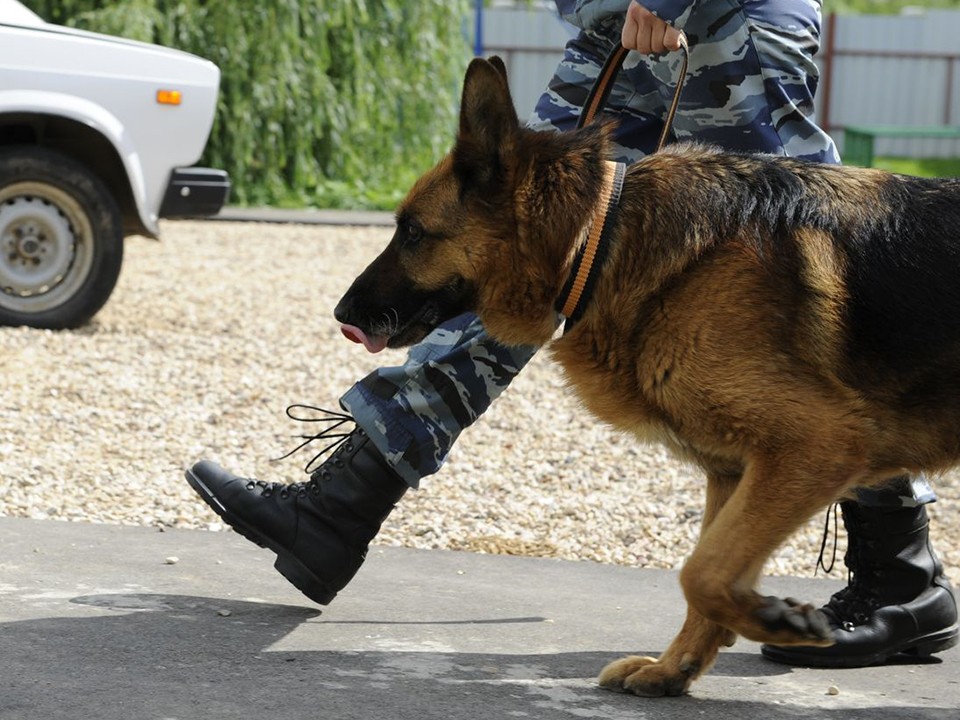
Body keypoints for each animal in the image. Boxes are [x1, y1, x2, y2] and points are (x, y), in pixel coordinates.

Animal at [336, 57, 960, 696]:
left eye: (413, 232)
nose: (342, 313)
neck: (600, 236)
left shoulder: (818, 445)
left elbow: (701, 572)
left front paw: (772, 618)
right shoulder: (737, 472)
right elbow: (706, 573)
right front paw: (675, 667)